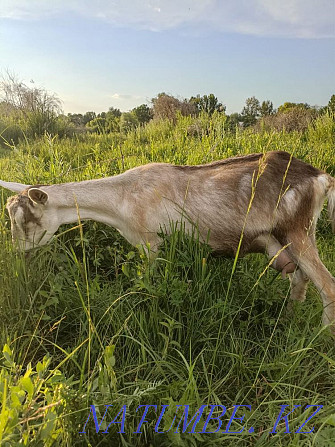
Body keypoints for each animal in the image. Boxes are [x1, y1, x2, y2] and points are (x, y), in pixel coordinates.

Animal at [0, 152, 335, 334]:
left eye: (26, 220)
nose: (18, 255)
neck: (121, 199)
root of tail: (321, 178)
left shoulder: (152, 243)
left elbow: (149, 285)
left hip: (297, 231)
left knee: (326, 285)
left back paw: (317, 337)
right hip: (286, 240)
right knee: (300, 280)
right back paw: (287, 320)